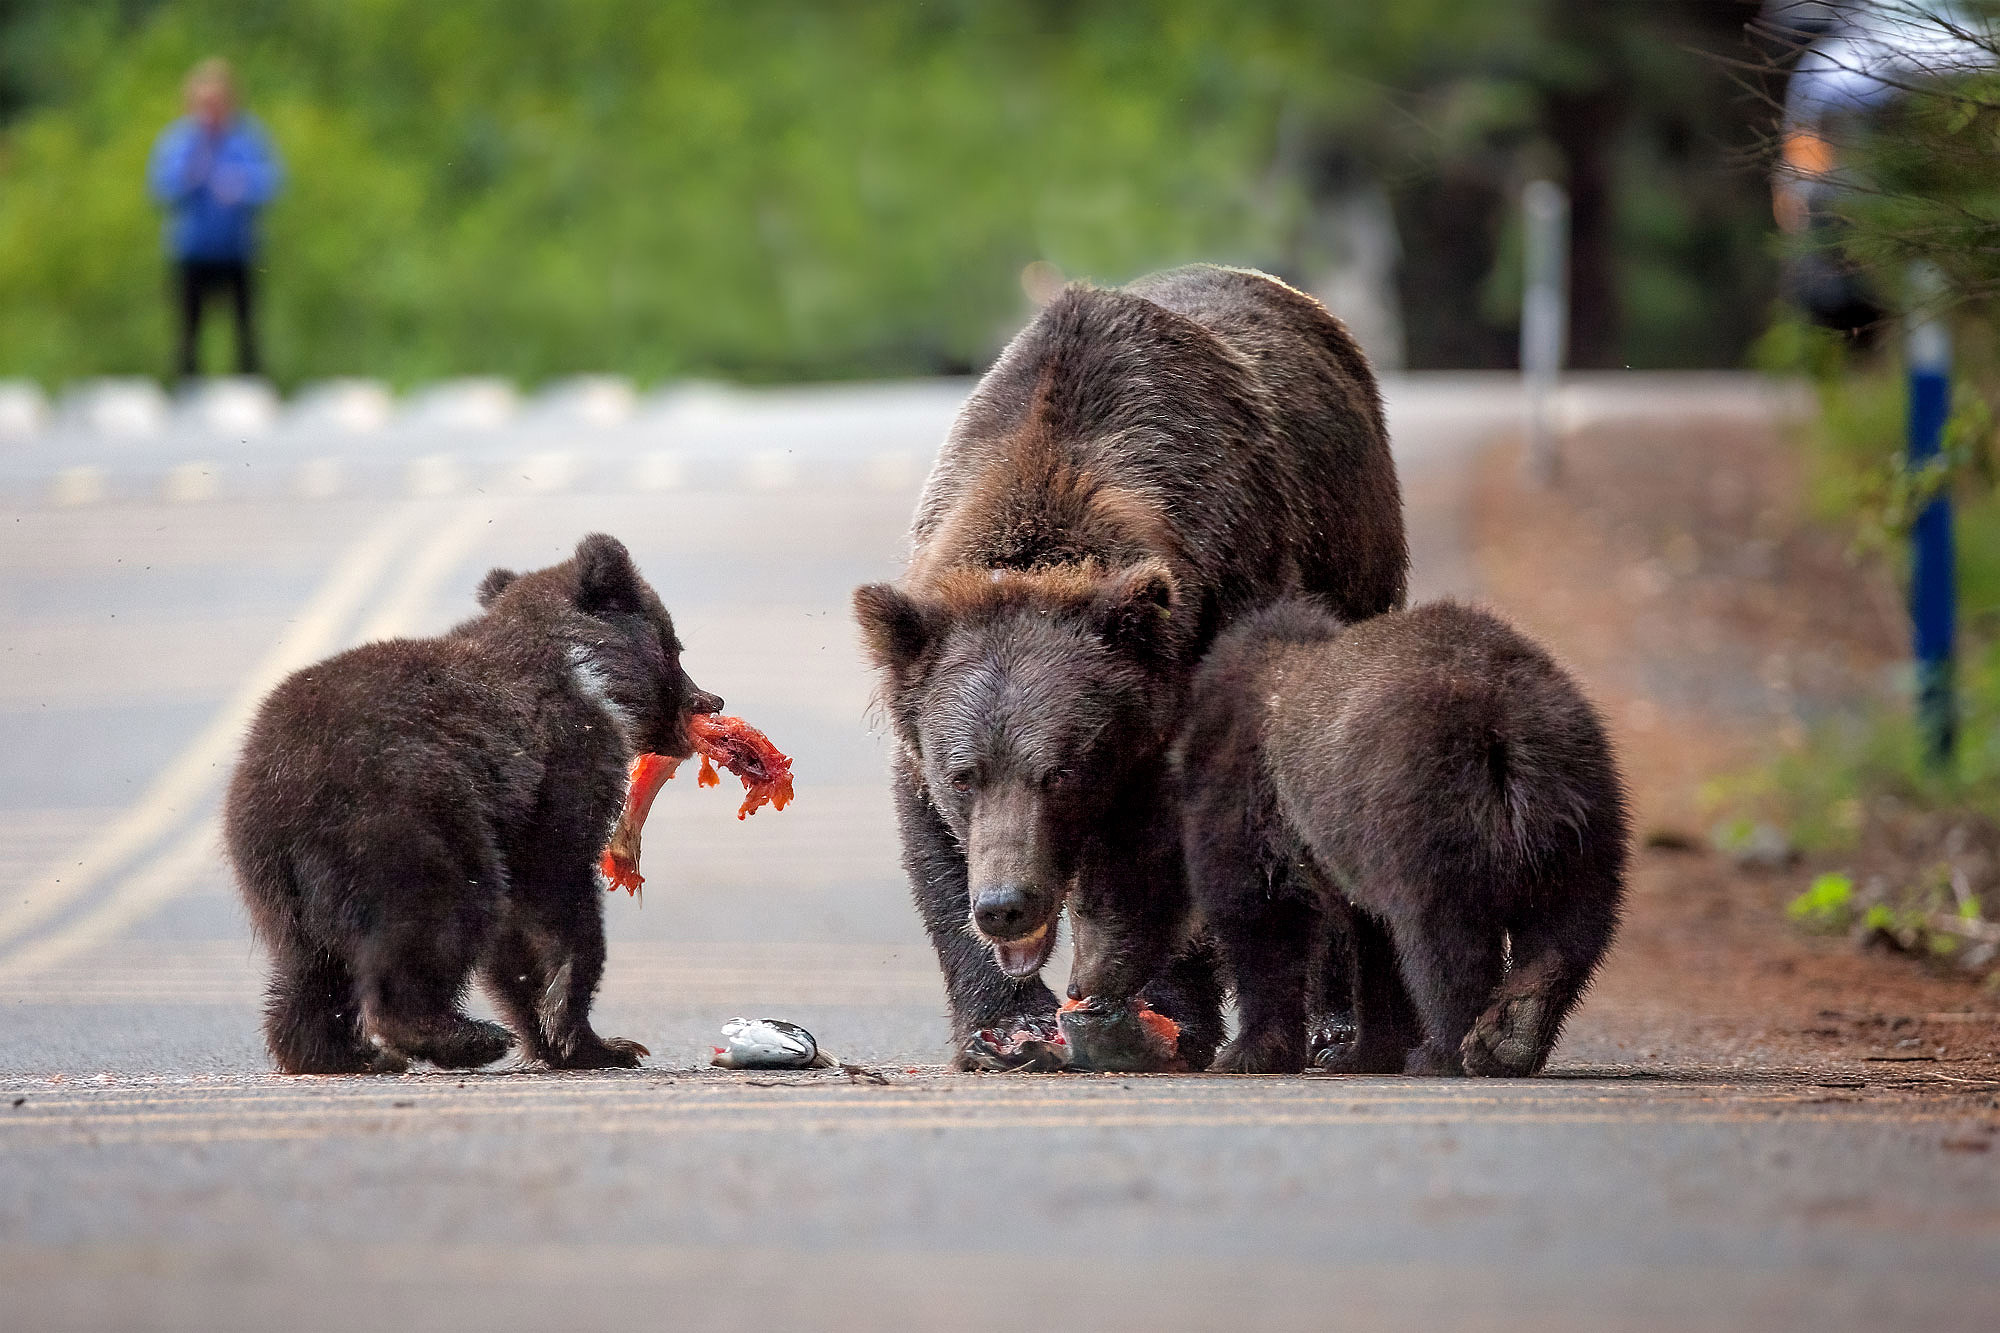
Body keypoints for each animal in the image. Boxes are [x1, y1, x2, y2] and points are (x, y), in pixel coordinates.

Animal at [224, 528, 724, 1072]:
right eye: (675, 648)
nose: (710, 701)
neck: (586, 668)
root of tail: (280, 782)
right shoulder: (563, 767)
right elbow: (557, 886)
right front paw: (589, 1036)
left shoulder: (512, 820)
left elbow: (515, 938)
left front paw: (562, 1036)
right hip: (408, 819)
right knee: (445, 913)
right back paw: (460, 1037)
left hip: (275, 877)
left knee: (306, 966)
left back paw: (343, 1053)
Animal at [856, 264, 1408, 1064]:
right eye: (964, 774)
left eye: (1060, 771)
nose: (1005, 904)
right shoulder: (924, 693)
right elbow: (931, 844)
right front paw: (1008, 1027)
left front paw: (1159, 1013)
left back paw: (1337, 1026)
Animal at [1184, 596, 1624, 1072]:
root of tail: (1503, 725)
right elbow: (1368, 941)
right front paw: (1362, 1049)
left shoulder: (1253, 789)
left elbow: (1261, 918)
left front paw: (1253, 1048)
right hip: (1578, 811)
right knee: (1569, 922)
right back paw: (1513, 1030)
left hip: (1430, 807)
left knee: (1446, 939)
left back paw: (1447, 1049)